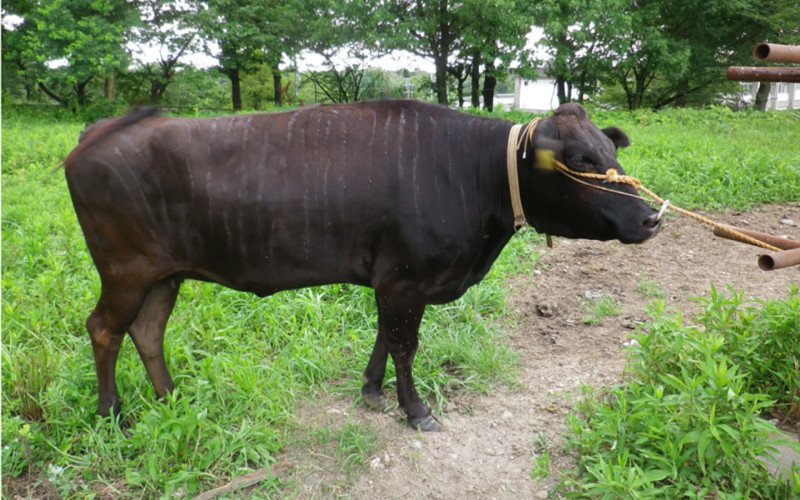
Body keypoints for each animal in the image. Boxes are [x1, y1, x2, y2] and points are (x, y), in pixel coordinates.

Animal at [64, 100, 660, 431]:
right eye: (579, 160)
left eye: (612, 152)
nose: (652, 217)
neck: (473, 173)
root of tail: (103, 128)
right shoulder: (406, 279)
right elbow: (404, 345)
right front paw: (415, 410)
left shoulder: (390, 280)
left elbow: (383, 337)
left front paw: (372, 391)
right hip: (126, 269)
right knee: (104, 330)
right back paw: (112, 416)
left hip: (163, 274)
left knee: (147, 331)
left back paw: (170, 400)